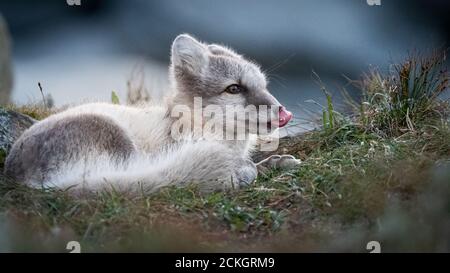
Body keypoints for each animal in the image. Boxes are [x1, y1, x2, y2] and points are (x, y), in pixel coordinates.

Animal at [5, 34, 300, 192]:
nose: (284, 113)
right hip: (117, 139)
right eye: (234, 88)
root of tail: (16, 173)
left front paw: (277, 162)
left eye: (264, 85)